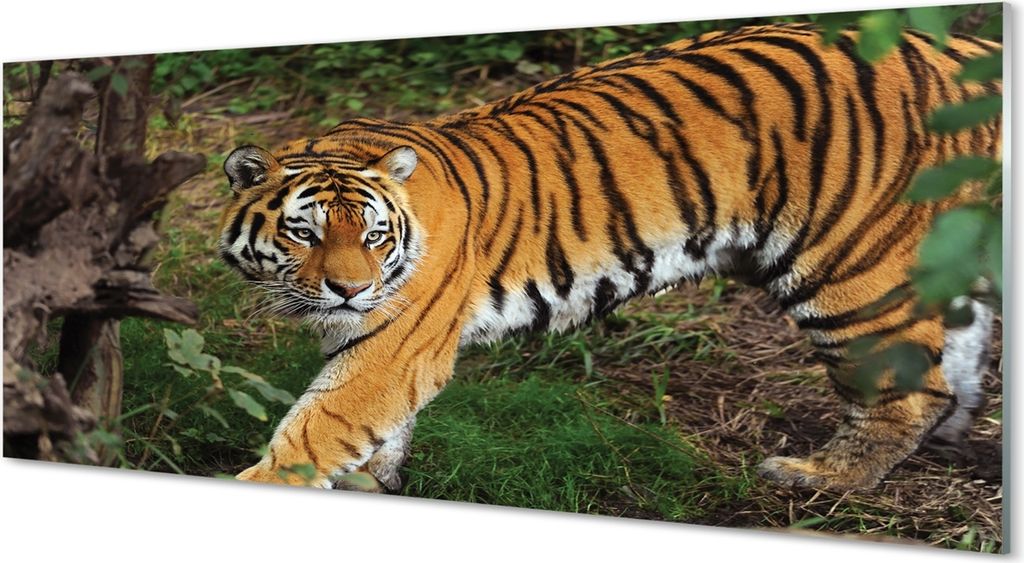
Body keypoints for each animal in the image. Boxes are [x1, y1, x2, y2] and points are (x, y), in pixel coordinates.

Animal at [217, 23, 1002, 492]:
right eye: (306, 234)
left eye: (374, 236)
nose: (350, 290)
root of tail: (957, 53)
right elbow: (371, 433)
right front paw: (373, 483)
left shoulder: (393, 345)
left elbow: (320, 425)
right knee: (957, 363)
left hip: (849, 269)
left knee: (913, 389)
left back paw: (817, 474)